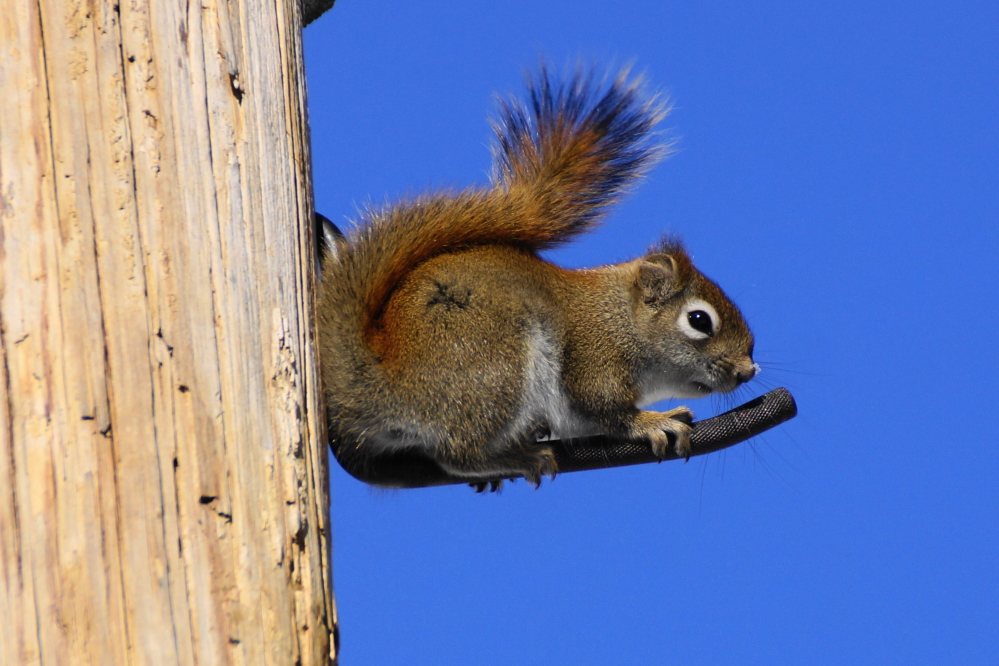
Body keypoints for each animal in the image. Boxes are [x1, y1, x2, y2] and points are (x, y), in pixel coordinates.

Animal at [317, 67, 758, 490]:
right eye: (699, 320)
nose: (747, 371)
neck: (618, 318)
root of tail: (383, 381)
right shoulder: (593, 362)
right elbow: (606, 410)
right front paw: (655, 420)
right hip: (497, 368)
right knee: (458, 454)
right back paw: (518, 457)